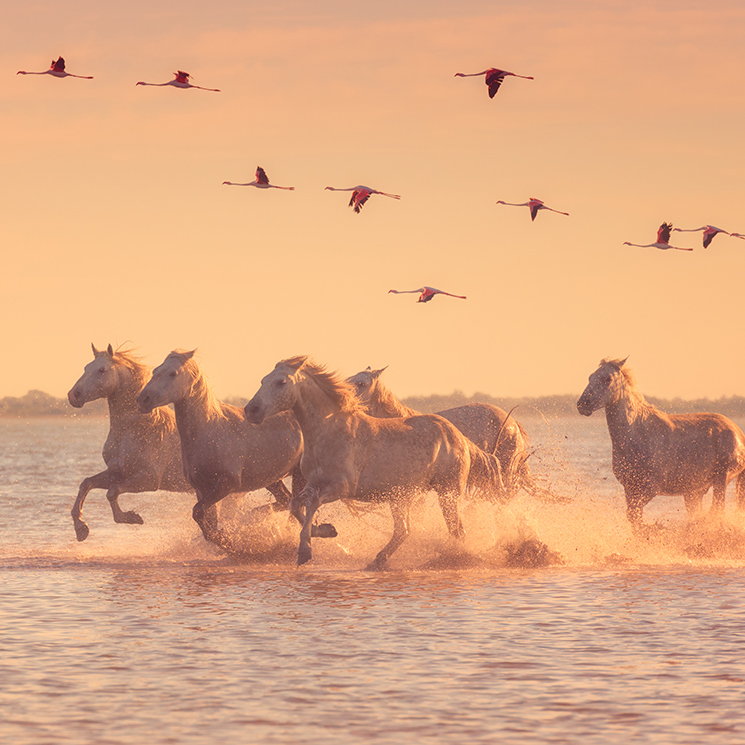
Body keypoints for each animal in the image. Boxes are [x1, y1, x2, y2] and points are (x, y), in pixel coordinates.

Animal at [66, 342, 192, 540]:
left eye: (102, 369)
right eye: (86, 367)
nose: (74, 395)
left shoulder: (149, 479)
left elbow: (112, 492)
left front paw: (131, 517)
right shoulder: (118, 472)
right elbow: (87, 483)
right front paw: (81, 528)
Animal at [137, 350, 338, 552]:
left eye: (173, 373)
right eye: (155, 370)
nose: (143, 400)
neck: (208, 431)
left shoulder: (227, 484)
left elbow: (198, 513)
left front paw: (230, 542)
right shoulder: (202, 488)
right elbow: (206, 521)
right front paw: (227, 541)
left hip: (298, 474)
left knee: (295, 507)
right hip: (271, 478)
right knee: (285, 500)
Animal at [244, 354, 506, 568]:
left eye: (281, 382)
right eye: (262, 380)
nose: (251, 410)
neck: (328, 430)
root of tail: (459, 437)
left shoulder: (341, 487)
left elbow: (311, 505)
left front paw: (305, 551)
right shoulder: (313, 482)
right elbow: (296, 505)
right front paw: (327, 530)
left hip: (448, 492)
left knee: (457, 531)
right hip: (401, 496)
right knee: (404, 530)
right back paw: (377, 560)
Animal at [580, 356, 744, 524]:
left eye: (607, 379)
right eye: (590, 377)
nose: (582, 404)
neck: (637, 433)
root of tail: (738, 433)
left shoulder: (651, 487)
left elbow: (634, 516)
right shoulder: (630, 488)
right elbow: (634, 518)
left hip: (721, 479)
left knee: (717, 511)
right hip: (694, 492)